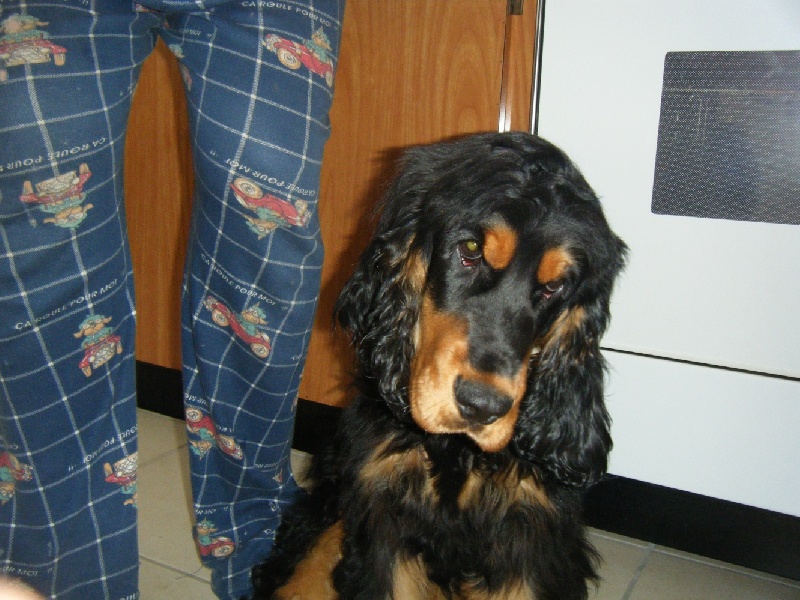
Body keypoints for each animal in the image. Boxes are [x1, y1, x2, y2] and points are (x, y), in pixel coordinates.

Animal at [251, 131, 627, 600]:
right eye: (470, 249)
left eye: (556, 286)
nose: (482, 407)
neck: (456, 453)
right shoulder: (382, 518)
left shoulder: (535, 540)